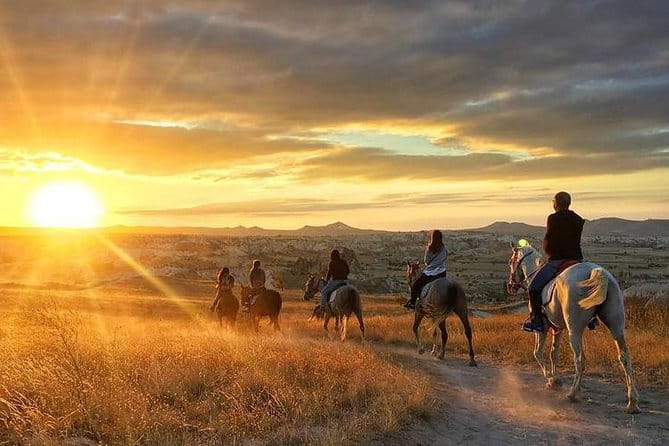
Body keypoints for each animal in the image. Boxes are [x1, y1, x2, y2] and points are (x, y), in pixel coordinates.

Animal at [507, 242, 640, 413]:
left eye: (511, 262)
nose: (510, 286)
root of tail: (597, 272)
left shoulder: (542, 327)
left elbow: (538, 352)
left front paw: (550, 379)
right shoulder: (557, 328)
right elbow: (554, 354)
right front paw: (556, 378)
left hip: (574, 330)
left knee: (580, 359)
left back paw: (572, 394)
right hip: (616, 326)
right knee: (625, 357)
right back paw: (632, 402)